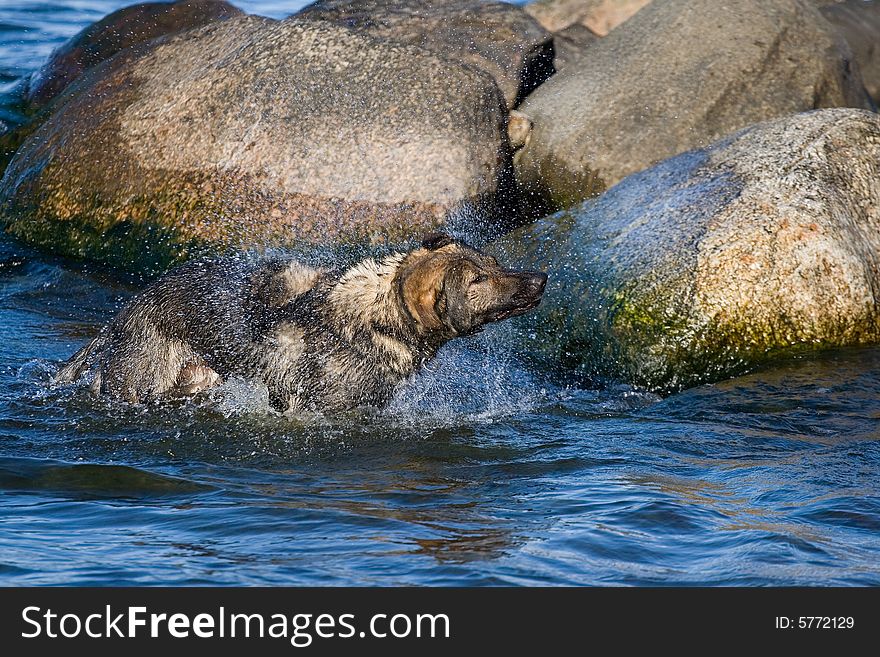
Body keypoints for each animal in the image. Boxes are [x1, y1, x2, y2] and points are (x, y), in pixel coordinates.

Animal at [55, 233, 544, 412]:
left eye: (493, 263)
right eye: (479, 280)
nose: (541, 280)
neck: (378, 315)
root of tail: (128, 308)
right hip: (140, 383)